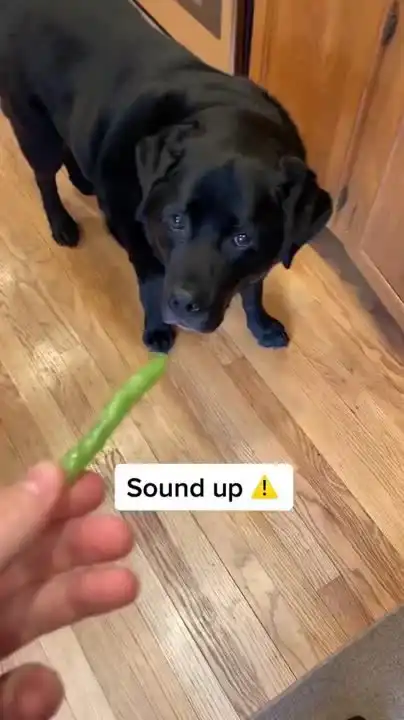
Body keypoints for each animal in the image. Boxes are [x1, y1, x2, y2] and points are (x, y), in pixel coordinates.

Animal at [0, 0, 332, 353]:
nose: (183, 304)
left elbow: (253, 290)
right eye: (176, 221)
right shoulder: (136, 236)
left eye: (242, 238)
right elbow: (152, 283)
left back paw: (84, 181)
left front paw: (262, 326)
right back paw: (61, 224)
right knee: (44, 178)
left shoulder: (266, 250)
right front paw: (157, 329)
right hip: (35, 130)